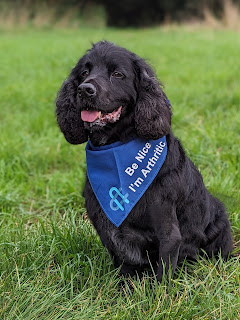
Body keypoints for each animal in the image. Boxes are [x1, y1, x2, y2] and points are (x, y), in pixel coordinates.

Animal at [56, 40, 232, 280]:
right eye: (84, 72)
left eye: (117, 74)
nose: (85, 89)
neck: (117, 147)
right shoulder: (108, 232)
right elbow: (124, 269)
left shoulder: (169, 232)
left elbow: (162, 279)